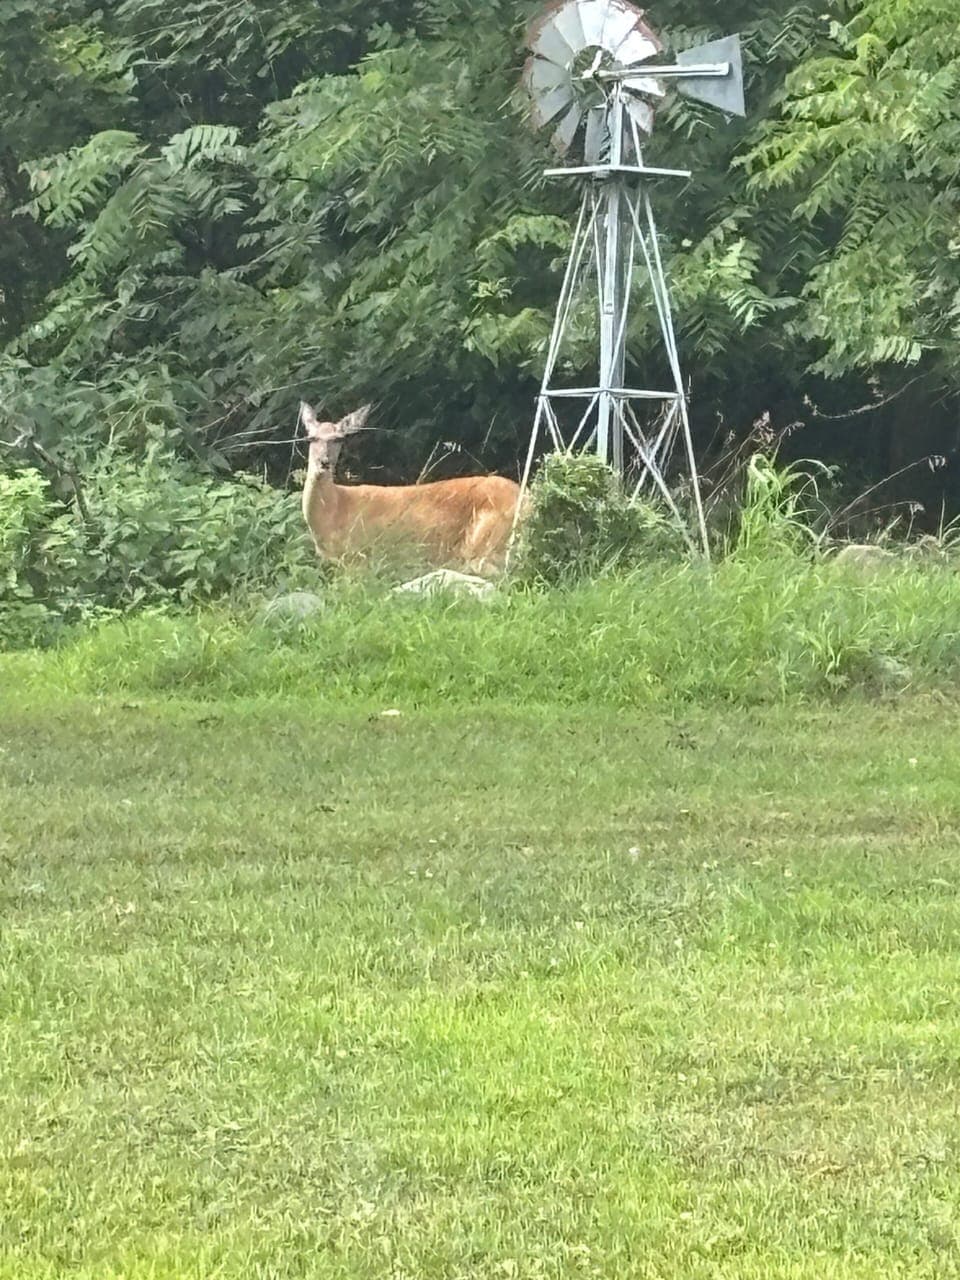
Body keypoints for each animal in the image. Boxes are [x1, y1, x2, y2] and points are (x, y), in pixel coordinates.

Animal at [299, 403, 525, 576]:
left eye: (338, 438)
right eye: (310, 438)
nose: (324, 462)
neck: (335, 509)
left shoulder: (359, 555)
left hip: (487, 539)